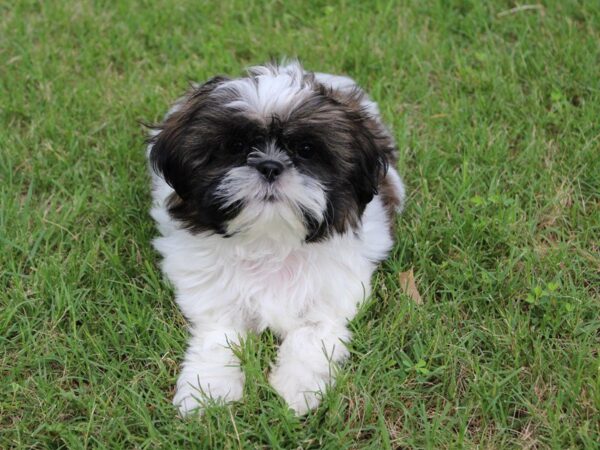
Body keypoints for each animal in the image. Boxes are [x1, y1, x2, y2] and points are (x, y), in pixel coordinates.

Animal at [147, 61, 406, 416]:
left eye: (307, 150)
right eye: (235, 147)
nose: (270, 166)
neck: (269, 240)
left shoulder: (334, 293)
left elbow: (312, 334)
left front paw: (298, 389)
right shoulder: (212, 296)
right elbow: (218, 337)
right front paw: (209, 391)